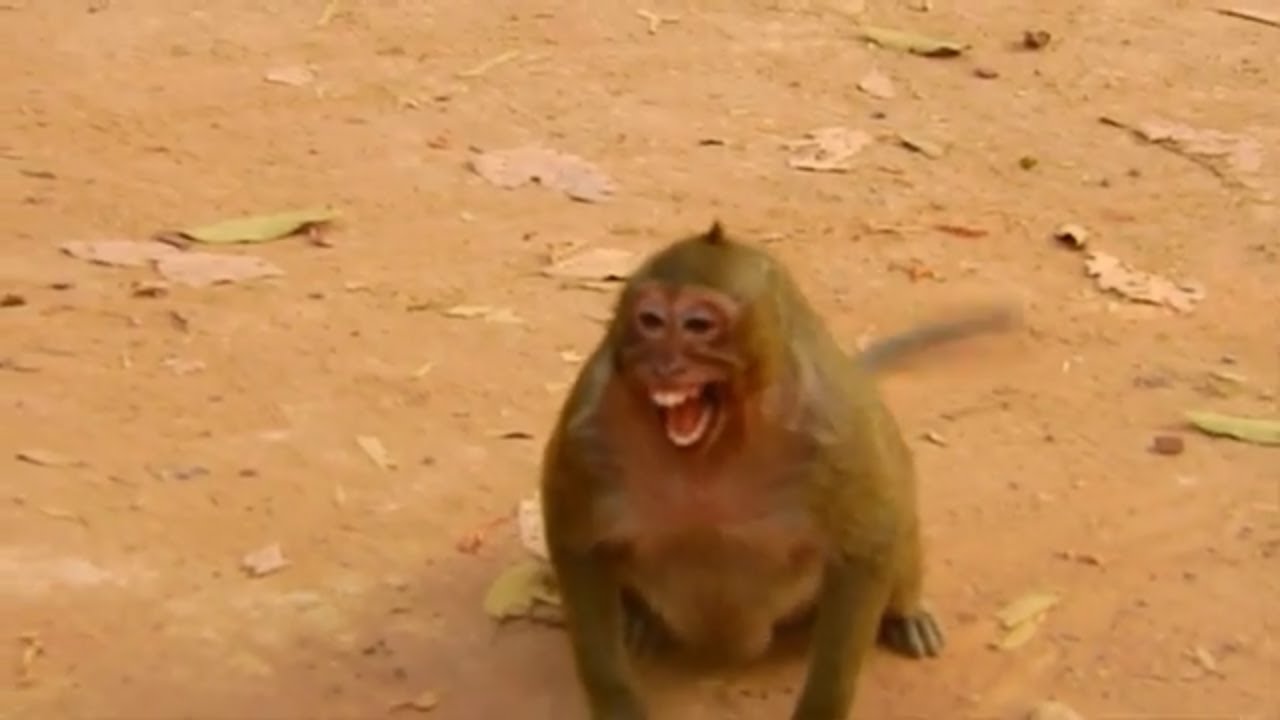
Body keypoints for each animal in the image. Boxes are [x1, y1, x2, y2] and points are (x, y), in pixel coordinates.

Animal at [539, 221, 1019, 720]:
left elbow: (868, 547)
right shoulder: (588, 430)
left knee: (898, 518)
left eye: (698, 325)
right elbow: (576, 544)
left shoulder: (832, 431)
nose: (665, 365)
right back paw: (638, 620)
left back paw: (906, 614)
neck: (713, 450)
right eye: (650, 321)